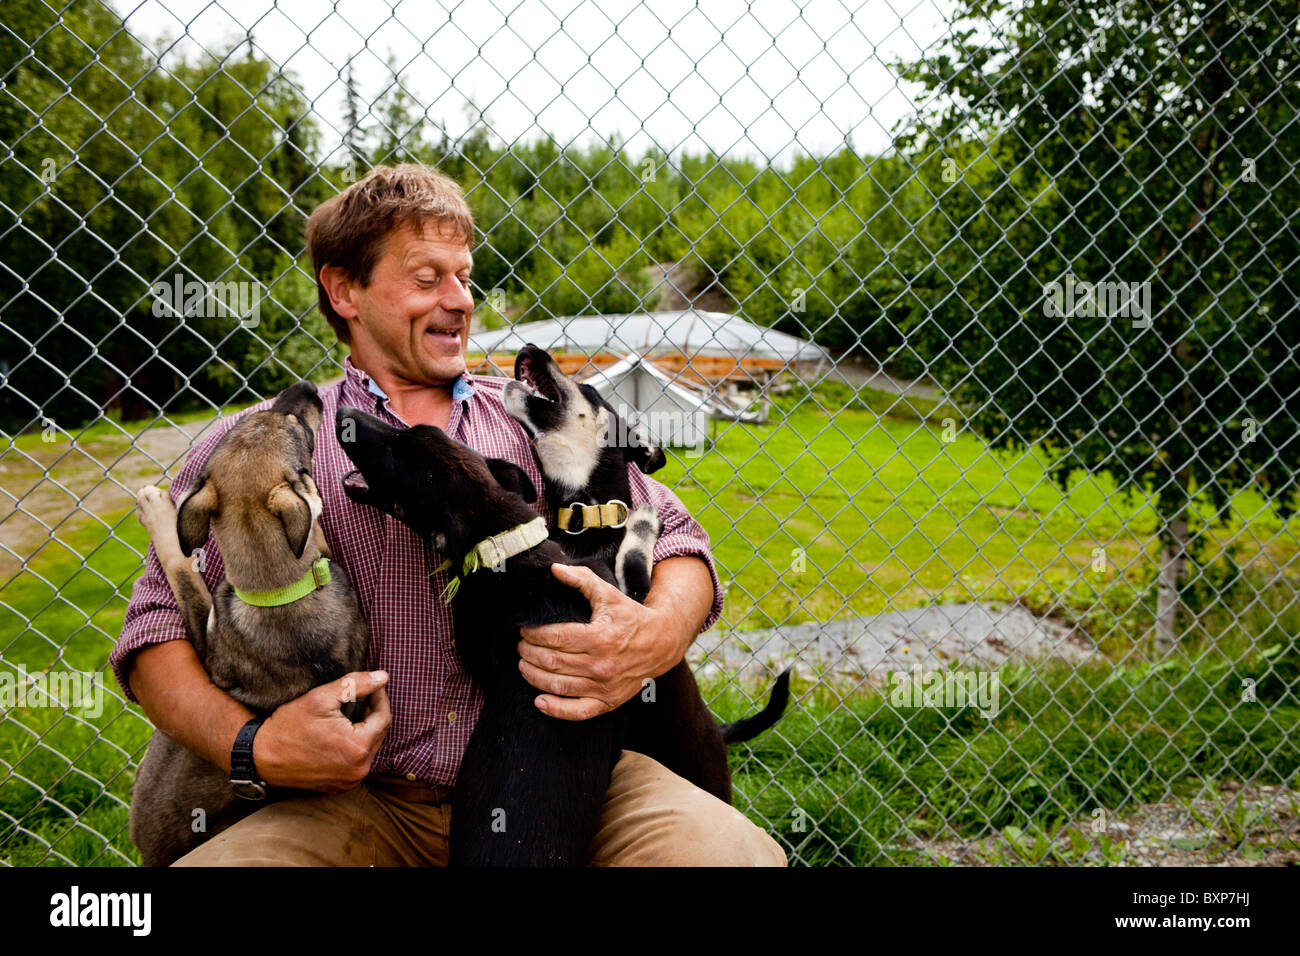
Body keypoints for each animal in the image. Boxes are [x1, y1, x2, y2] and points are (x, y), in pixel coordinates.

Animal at [504, 343, 790, 801]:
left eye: (589, 389)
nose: (530, 348)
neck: (587, 518)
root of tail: (718, 730)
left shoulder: (635, 602)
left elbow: (638, 547)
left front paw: (642, 521)